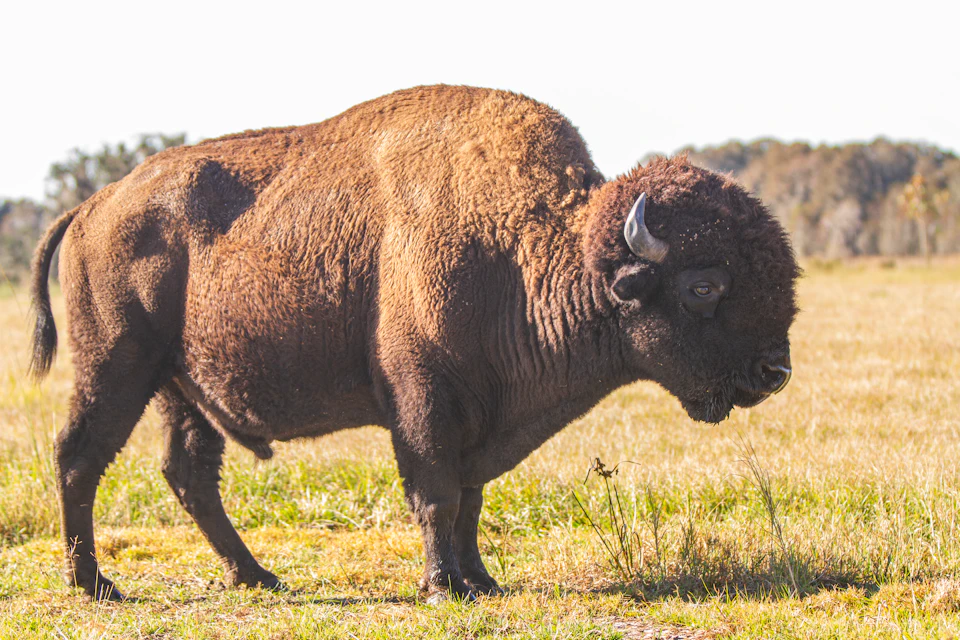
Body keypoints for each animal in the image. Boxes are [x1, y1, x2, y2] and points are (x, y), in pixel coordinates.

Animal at [30, 85, 798, 601]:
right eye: (704, 286)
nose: (775, 372)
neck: (528, 250)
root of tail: (93, 205)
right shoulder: (424, 402)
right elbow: (436, 495)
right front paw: (440, 587)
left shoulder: (480, 417)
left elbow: (471, 499)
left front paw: (481, 581)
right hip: (116, 367)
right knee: (80, 456)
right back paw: (96, 585)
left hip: (181, 390)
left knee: (188, 472)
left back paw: (258, 575)